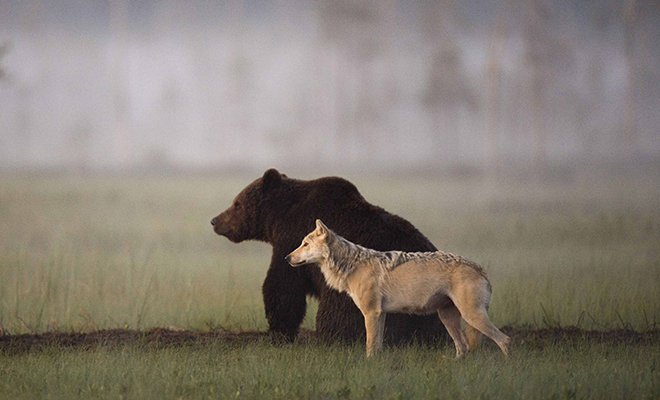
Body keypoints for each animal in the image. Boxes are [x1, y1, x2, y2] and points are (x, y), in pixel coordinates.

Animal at [211, 169, 448, 344]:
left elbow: (283, 286)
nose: (215, 220)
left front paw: (278, 331)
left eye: (237, 203)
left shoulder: (292, 240)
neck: (280, 217)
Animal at [284, 220, 510, 358]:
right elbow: (377, 345)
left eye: (305, 244)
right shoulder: (380, 314)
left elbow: (370, 345)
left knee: (504, 340)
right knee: (463, 347)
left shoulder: (371, 313)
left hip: (472, 316)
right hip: (449, 318)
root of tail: (481, 269)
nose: (286, 258)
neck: (352, 265)